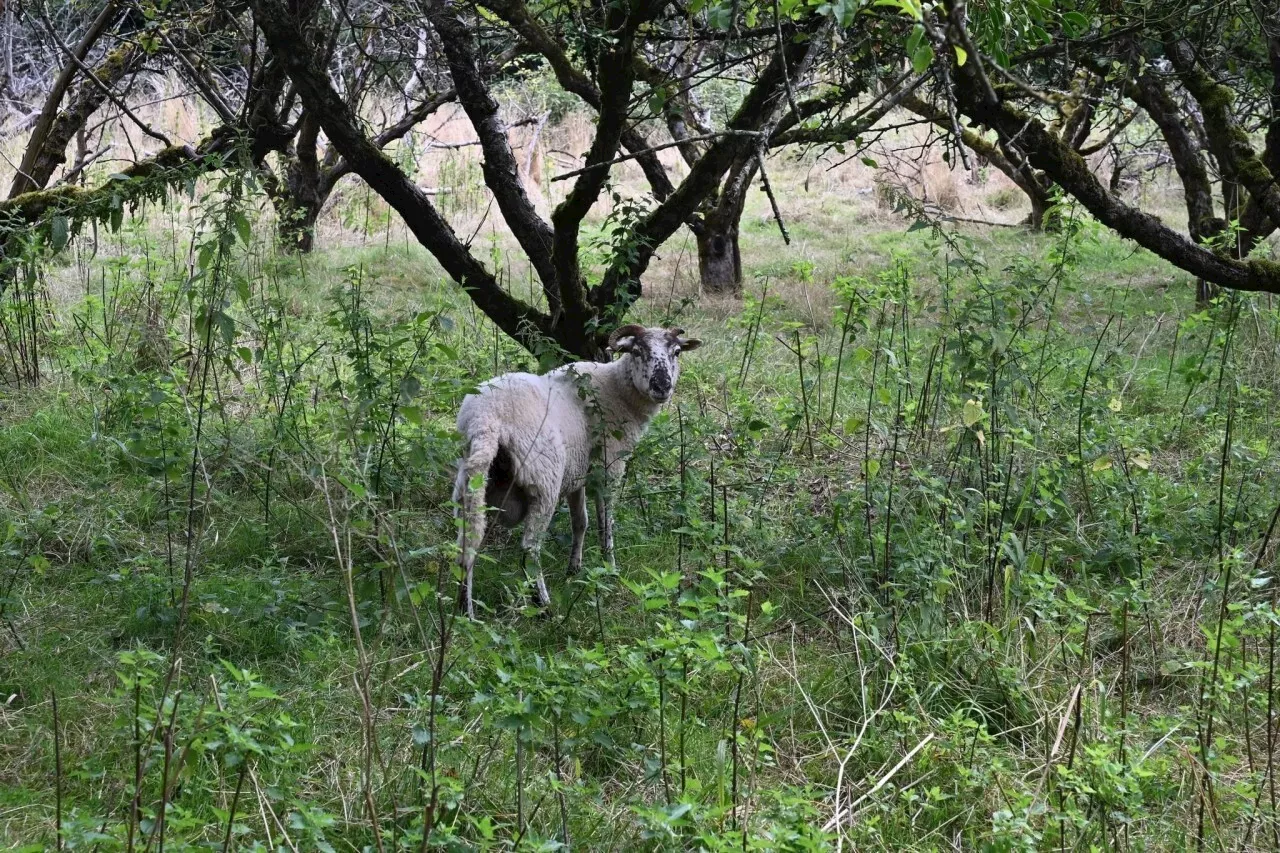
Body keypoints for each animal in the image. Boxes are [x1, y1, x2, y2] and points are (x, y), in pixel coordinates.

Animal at [455, 322, 706, 614]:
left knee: (467, 545)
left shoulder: (577, 476)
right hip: (544, 483)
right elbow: (605, 523)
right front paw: (609, 568)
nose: (662, 385)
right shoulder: (609, 469)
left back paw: (466, 612)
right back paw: (543, 604)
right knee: (530, 547)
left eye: (677, 352)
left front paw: (574, 569)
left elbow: (580, 522)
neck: (616, 391)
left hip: (469, 481)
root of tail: (486, 419)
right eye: (637, 351)